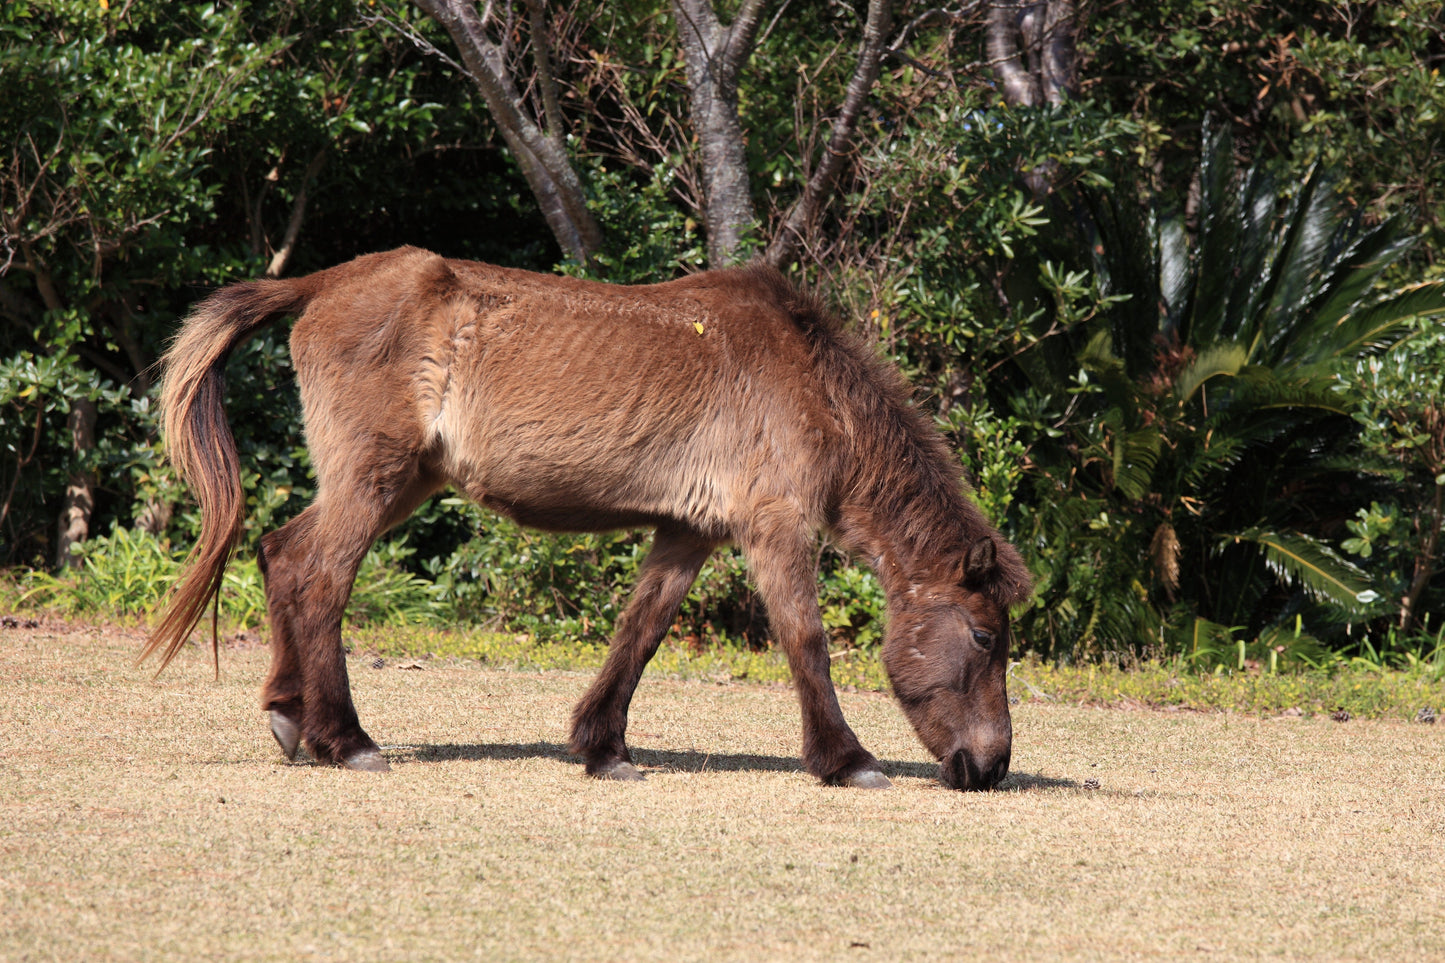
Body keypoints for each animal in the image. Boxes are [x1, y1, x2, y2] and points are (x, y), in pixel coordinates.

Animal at [142, 246, 1033, 790]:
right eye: (984, 637)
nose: (989, 765)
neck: (808, 378)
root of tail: (320, 283)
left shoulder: (689, 531)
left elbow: (638, 633)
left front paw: (602, 747)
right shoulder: (772, 525)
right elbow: (804, 640)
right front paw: (845, 759)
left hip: (400, 483)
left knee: (282, 554)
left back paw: (291, 715)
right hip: (374, 478)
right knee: (318, 576)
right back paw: (346, 737)